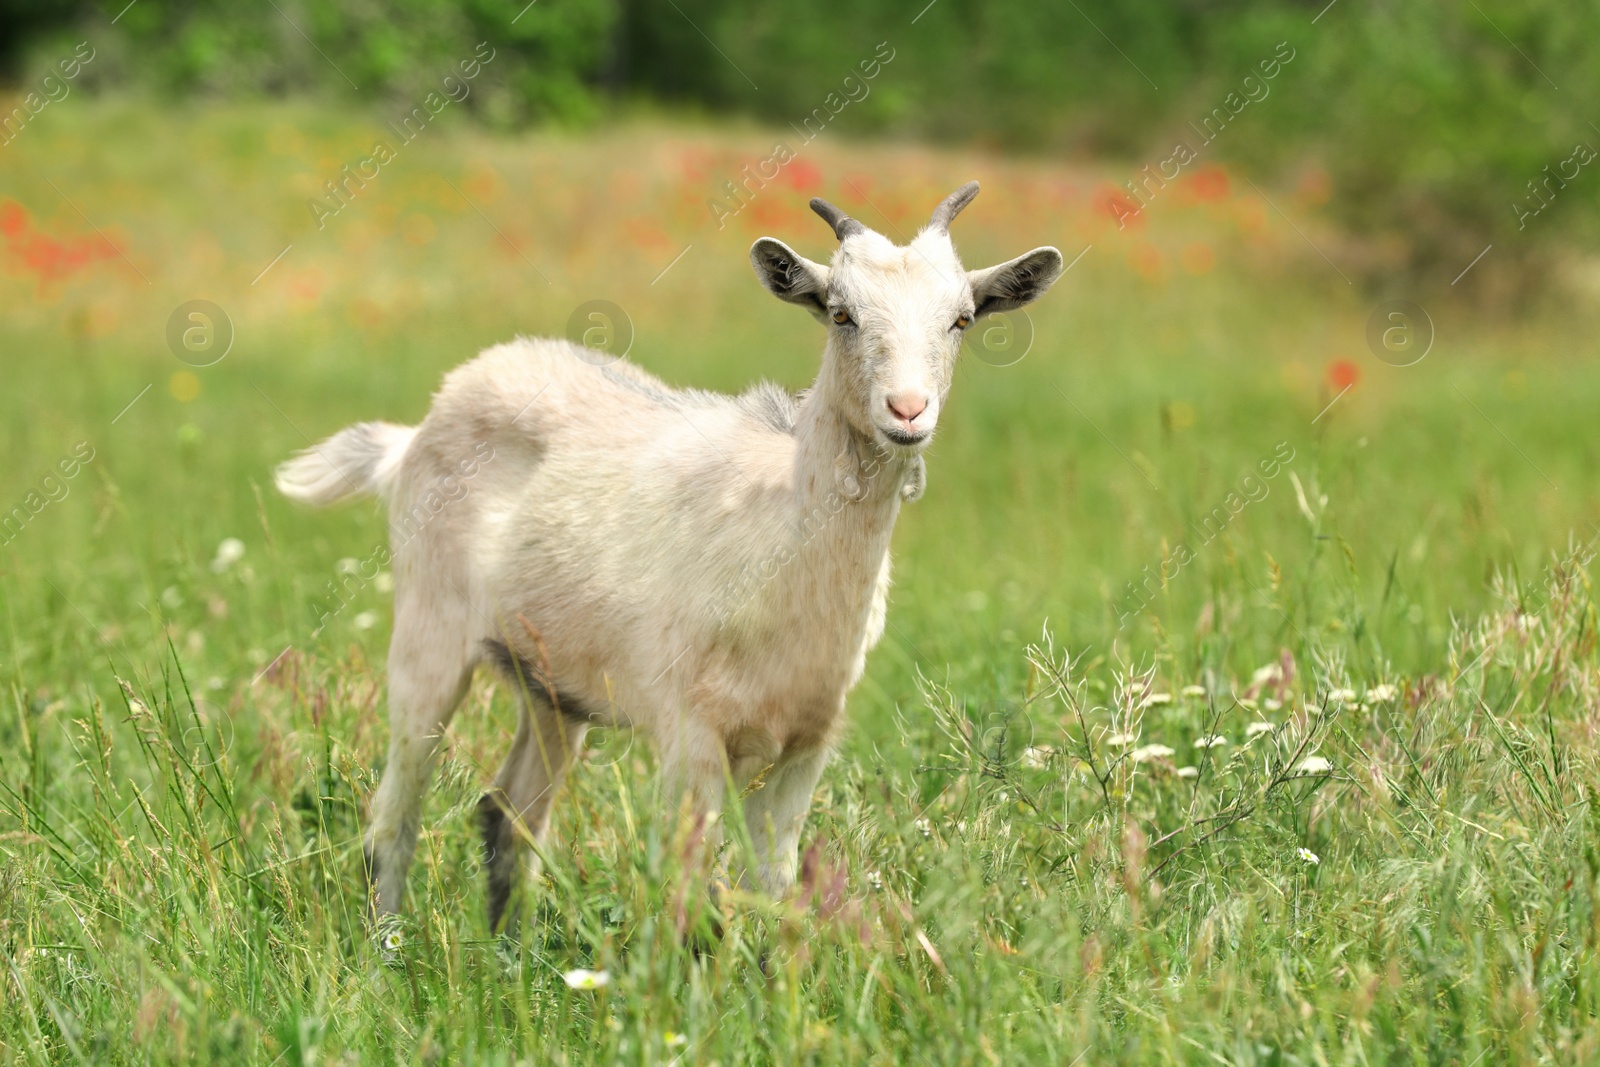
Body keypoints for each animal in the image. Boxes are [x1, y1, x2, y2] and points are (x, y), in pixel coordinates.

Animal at [275, 179, 1062, 927]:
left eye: (961, 319)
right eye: (841, 313)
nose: (907, 411)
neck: (780, 536)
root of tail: (415, 433)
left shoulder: (808, 741)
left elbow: (774, 888)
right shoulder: (691, 731)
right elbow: (690, 888)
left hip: (554, 682)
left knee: (510, 809)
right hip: (428, 628)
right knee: (395, 810)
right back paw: (388, 950)